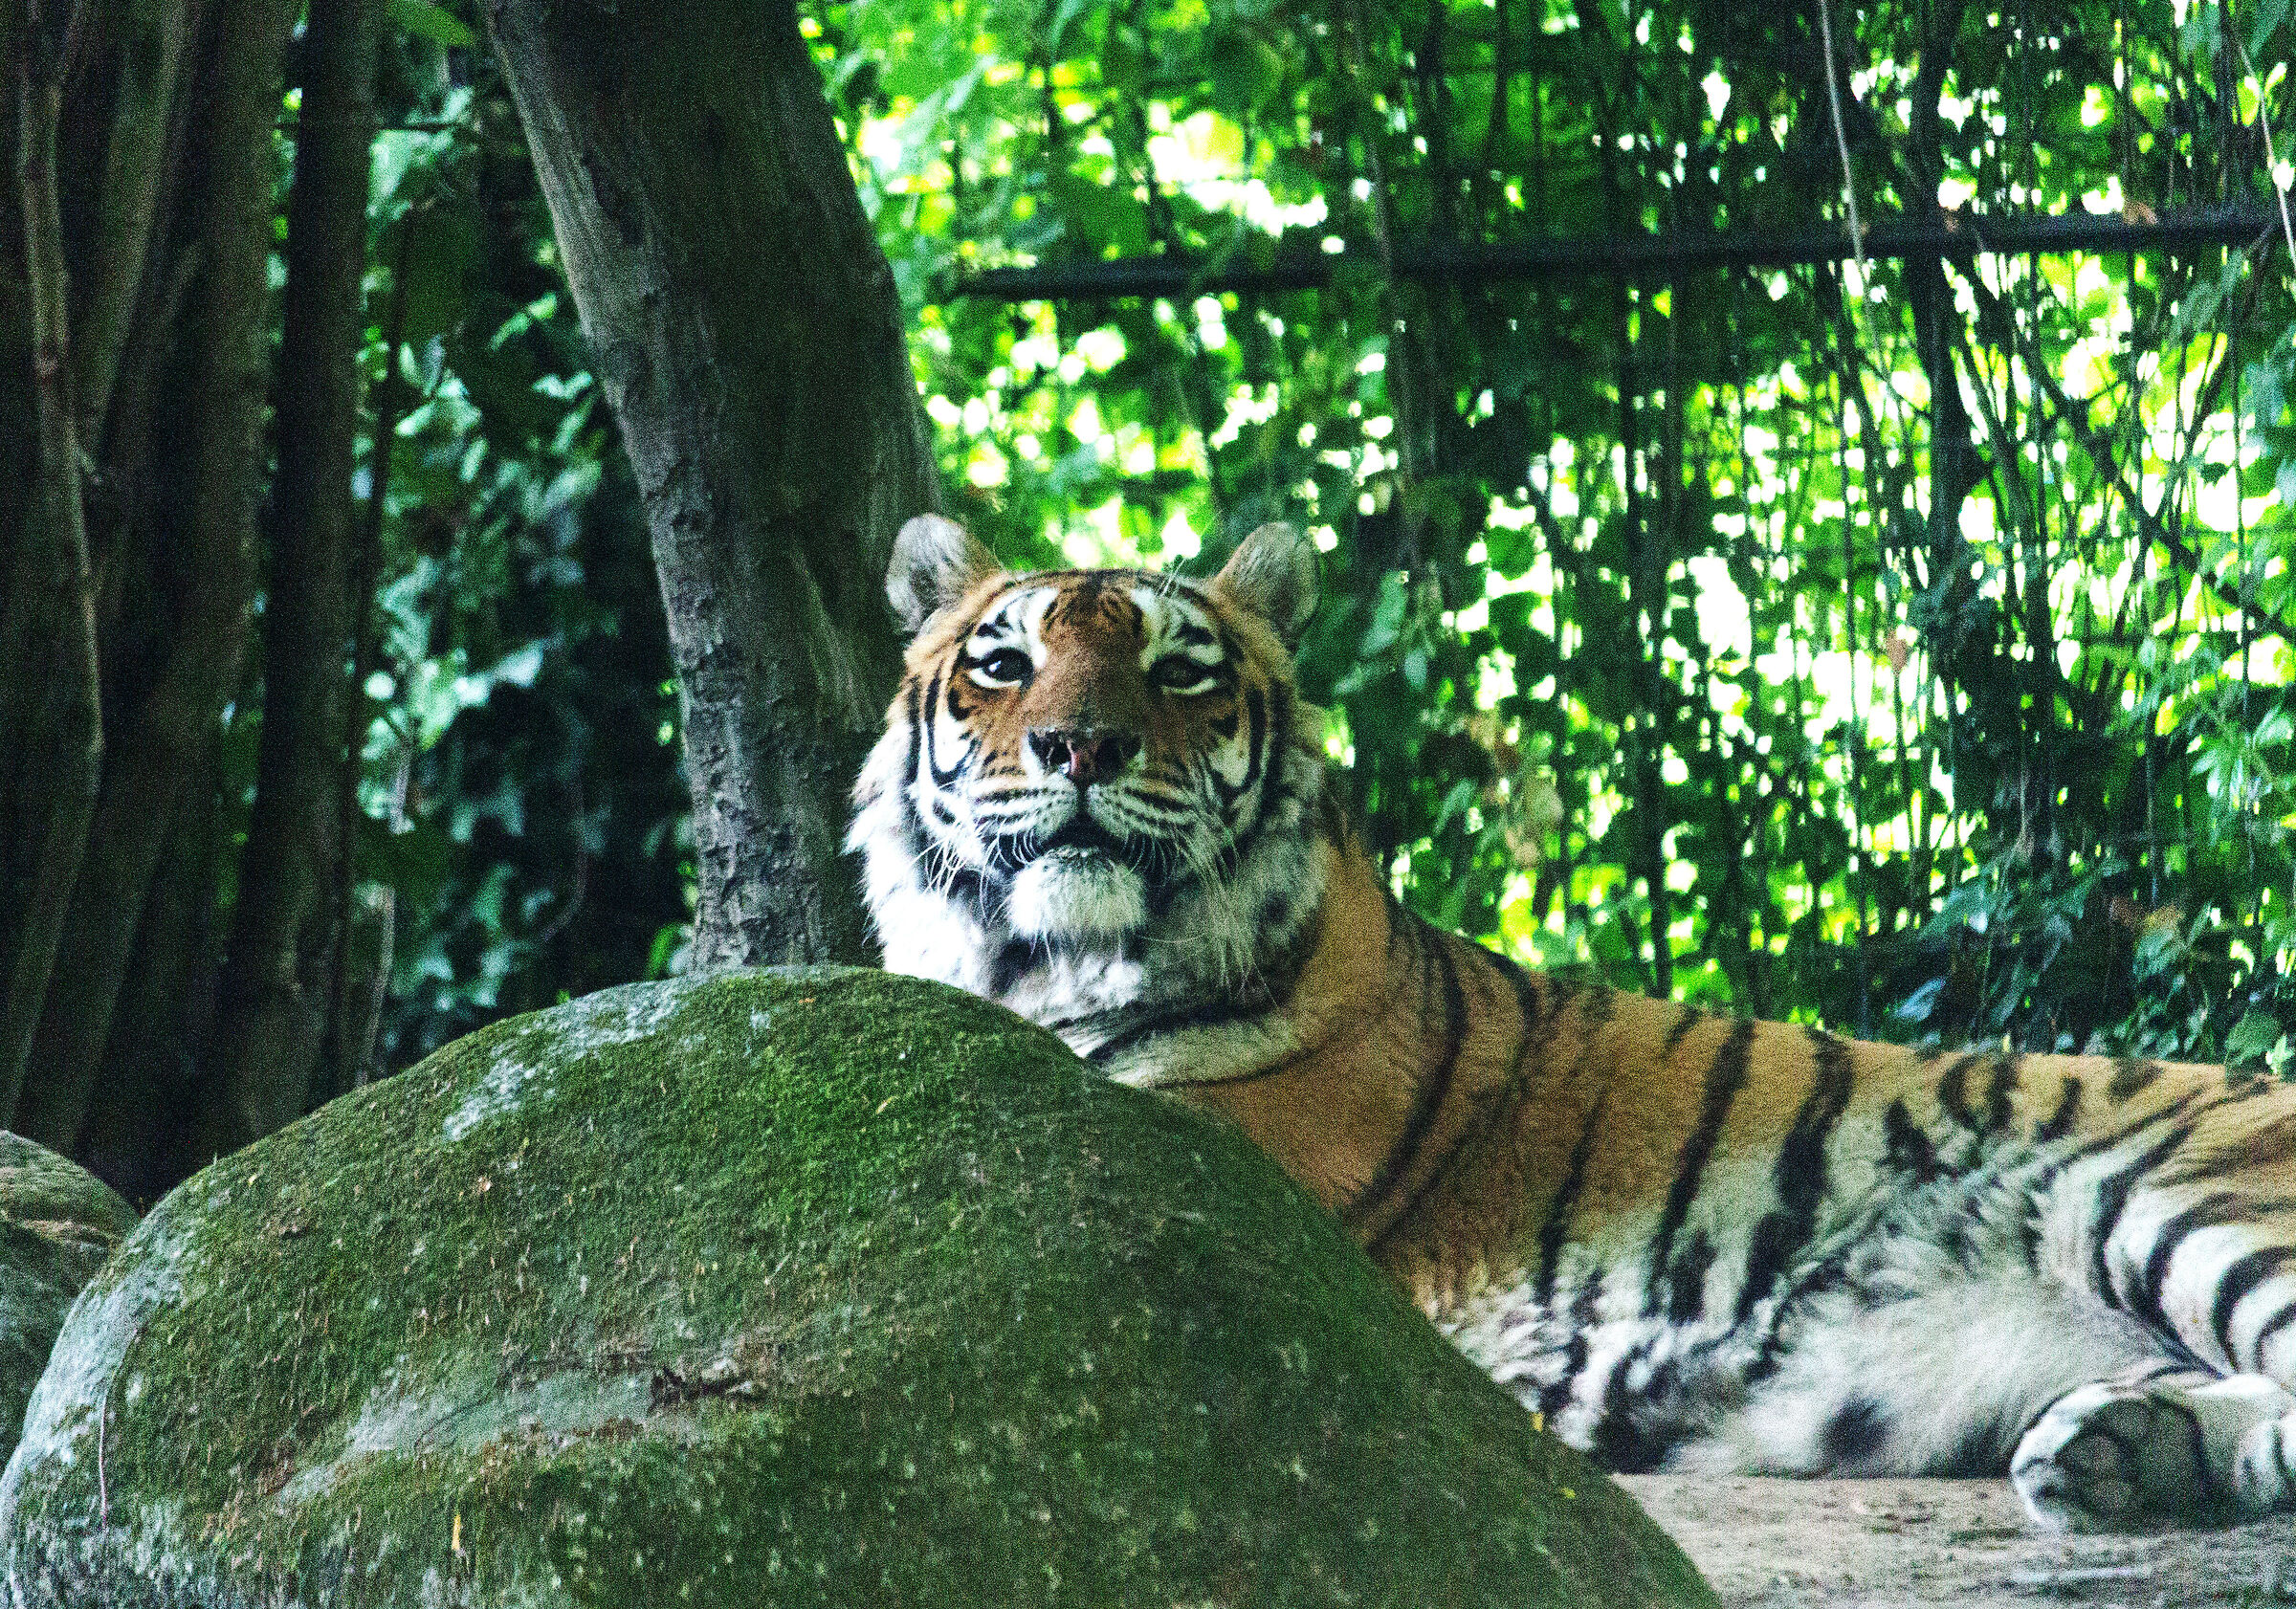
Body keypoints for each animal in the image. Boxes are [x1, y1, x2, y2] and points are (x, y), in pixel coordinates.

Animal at [847, 511, 2296, 1533]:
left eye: (1179, 668)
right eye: (1004, 665)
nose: (1082, 746)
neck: (1048, 969)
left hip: (2183, 1199)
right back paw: (2111, 1449)